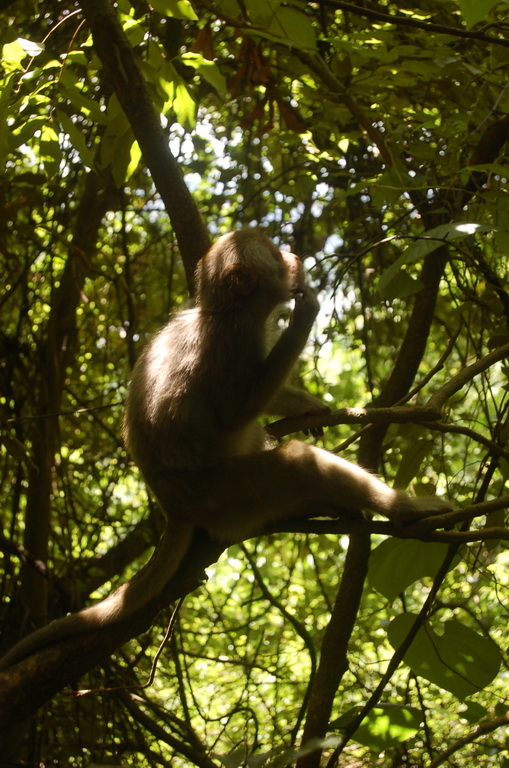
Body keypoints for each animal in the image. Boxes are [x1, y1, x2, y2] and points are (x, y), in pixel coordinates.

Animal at [0, 225, 452, 668]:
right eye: (273, 251)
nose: (294, 256)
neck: (227, 311)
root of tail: (173, 507)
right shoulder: (231, 339)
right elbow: (235, 412)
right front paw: (304, 315)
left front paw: (308, 405)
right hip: (220, 496)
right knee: (296, 465)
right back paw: (403, 509)